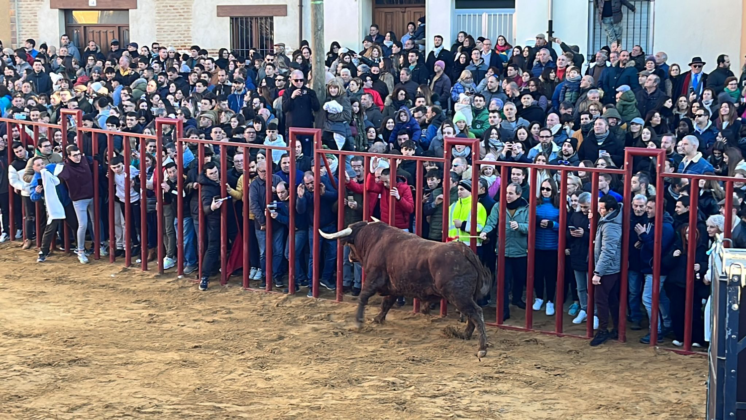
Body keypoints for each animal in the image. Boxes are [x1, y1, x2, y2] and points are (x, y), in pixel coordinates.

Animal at [318, 220, 488, 358]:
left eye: (350, 245)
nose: (349, 257)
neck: (372, 240)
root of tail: (464, 250)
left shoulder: (374, 277)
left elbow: (363, 296)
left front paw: (359, 322)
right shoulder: (394, 287)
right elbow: (386, 304)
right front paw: (377, 319)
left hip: (458, 295)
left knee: (476, 312)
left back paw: (482, 348)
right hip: (467, 296)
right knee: (472, 315)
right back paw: (464, 335)